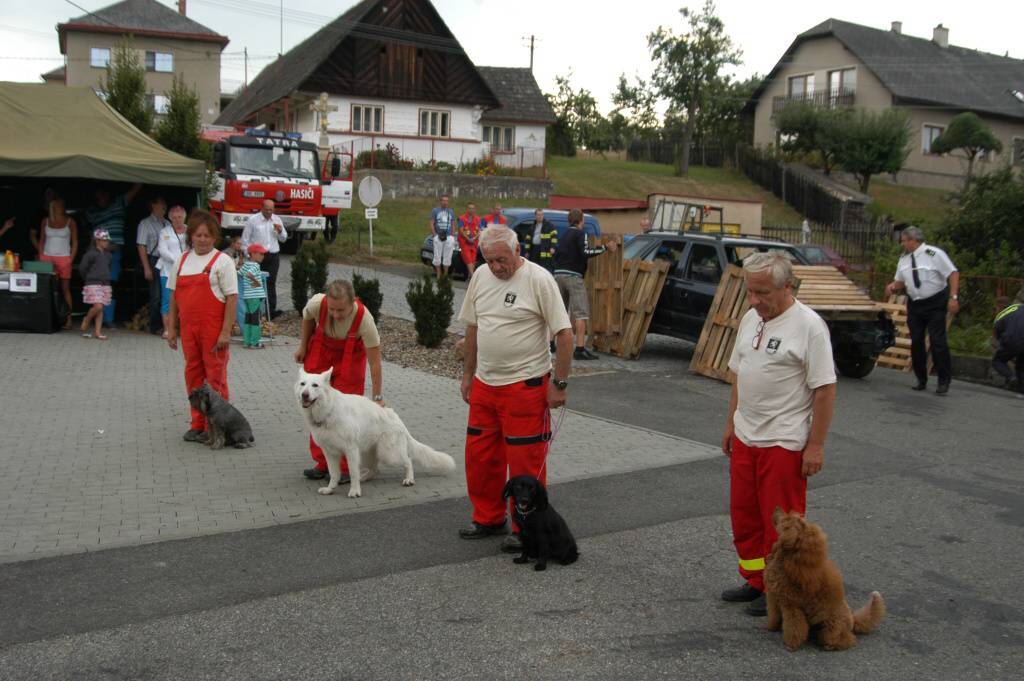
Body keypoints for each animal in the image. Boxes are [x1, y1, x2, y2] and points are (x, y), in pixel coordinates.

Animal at [296, 368, 456, 497]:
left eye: (315, 385)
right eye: (303, 384)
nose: (304, 395)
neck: (328, 410)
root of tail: (395, 417)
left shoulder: (350, 450)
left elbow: (352, 472)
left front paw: (355, 491)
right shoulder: (330, 453)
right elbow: (334, 473)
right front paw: (330, 489)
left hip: (388, 454)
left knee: (408, 461)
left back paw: (409, 479)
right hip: (367, 453)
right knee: (374, 469)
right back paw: (364, 478)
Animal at [765, 507, 884, 651]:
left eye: (784, 522)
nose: (777, 508)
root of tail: (852, 619)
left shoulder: (790, 605)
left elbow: (794, 626)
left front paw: (791, 645)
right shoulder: (773, 597)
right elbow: (774, 615)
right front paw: (771, 628)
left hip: (831, 627)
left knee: (846, 640)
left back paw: (829, 645)